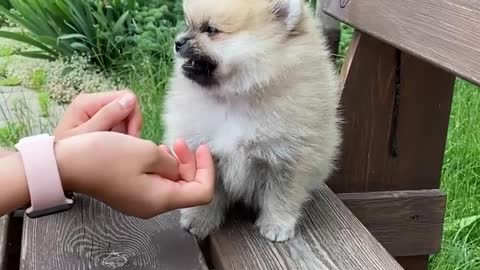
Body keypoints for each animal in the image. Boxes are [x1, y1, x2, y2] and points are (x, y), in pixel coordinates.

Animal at [164, 0, 342, 243]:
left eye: (211, 30)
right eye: (188, 24)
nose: (178, 42)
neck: (236, 96)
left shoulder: (287, 157)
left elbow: (281, 196)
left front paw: (277, 226)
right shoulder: (202, 149)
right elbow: (205, 192)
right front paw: (199, 221)